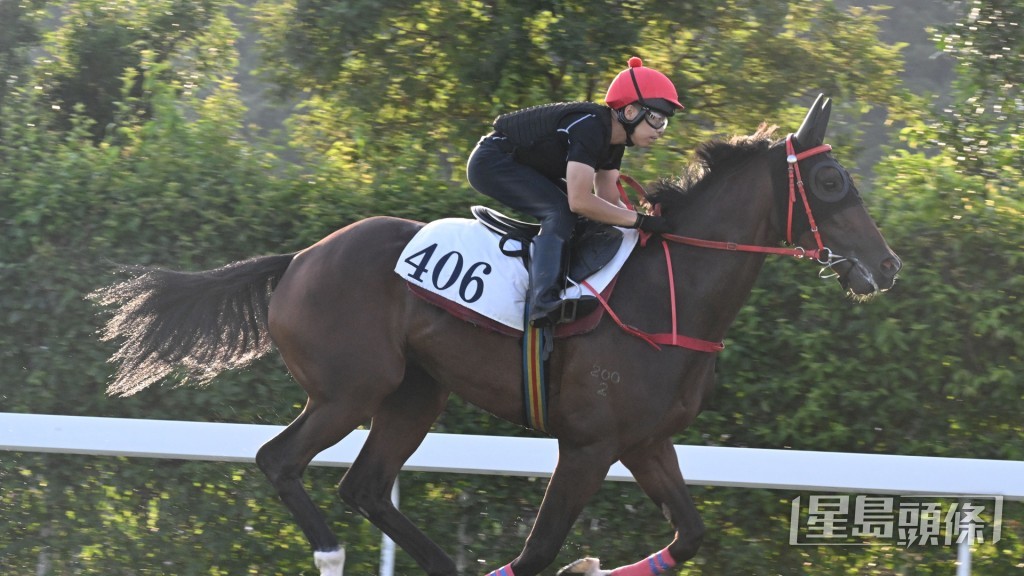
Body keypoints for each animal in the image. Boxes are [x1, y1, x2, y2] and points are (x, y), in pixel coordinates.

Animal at [90, 95, 901, 576]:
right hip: (351, 390)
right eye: (833, 185)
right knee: (279, 460)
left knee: (366, 485)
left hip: (415, 394)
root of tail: (298, 259)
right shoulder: (588, 445)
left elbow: (688, 535)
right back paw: (328, 553)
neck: (667, 295)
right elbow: (541, 550)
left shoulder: (645, 441)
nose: (887, 266)